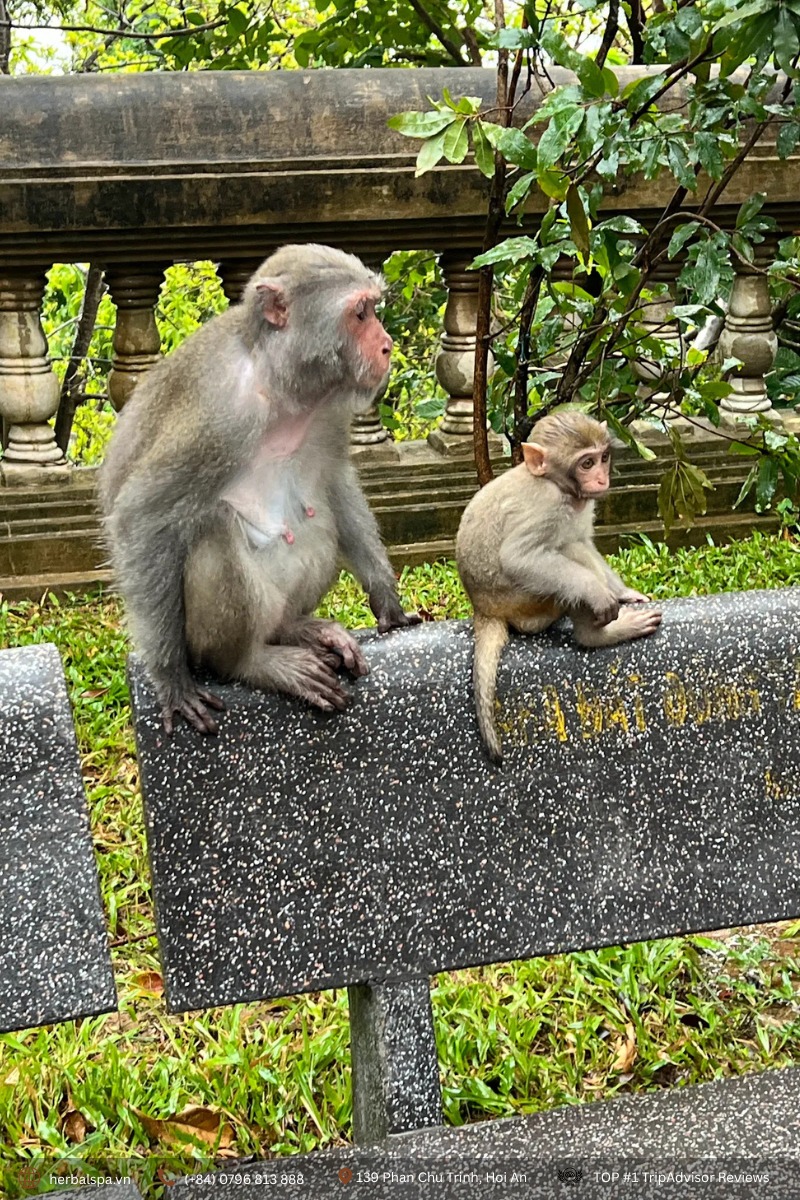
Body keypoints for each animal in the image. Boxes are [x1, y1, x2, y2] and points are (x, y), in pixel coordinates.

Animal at [100, 243, 419, 736]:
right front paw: (171, 679)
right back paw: (252, 661)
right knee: (212, 528)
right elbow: (140, 517)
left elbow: (335, 479)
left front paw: (385, 596)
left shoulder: (329, 403)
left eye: (372, 309)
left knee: (314, 521)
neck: (279, 379)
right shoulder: (218, 415)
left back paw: (294, 629)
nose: (387, 345)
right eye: (360, 313)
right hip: (204, 635)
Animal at [455, 408, 662, 764]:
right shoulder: (547, 503)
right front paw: (598, 593)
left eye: (603, 457)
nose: (602, 479)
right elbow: (519, 557)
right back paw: (596, 635)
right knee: (565, 555)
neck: (561, 488)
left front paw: (623, 592)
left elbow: (584, 539)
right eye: (586, 463)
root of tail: (483, 609)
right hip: (526, 605)